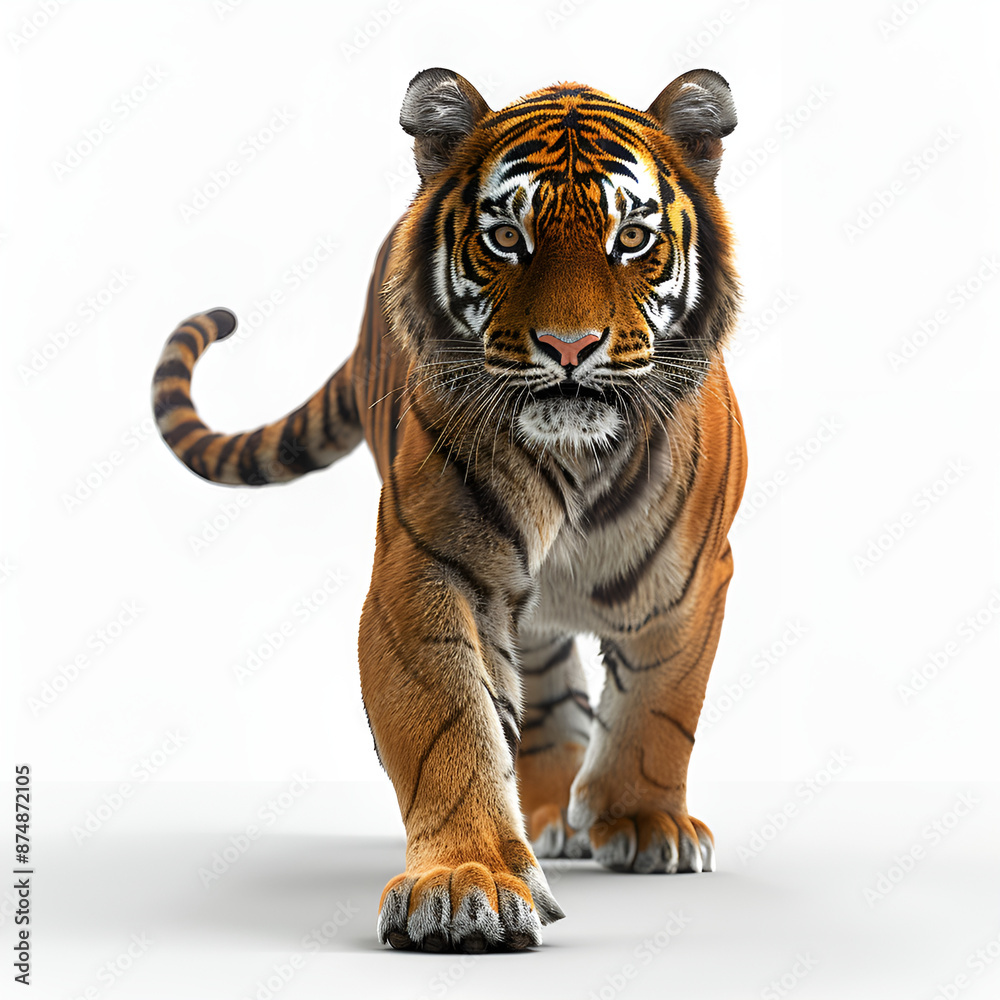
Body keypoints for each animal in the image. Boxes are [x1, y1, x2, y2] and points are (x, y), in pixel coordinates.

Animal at [151, 67, 747, 953]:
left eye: (632, 238)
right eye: (506, 238)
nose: (570, 348)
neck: (580, 458)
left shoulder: (694, 578)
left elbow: (661, 706)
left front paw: (646, 825)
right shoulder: (428, 571)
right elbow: (450, 726)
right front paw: (470, 883)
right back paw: (546, 814)